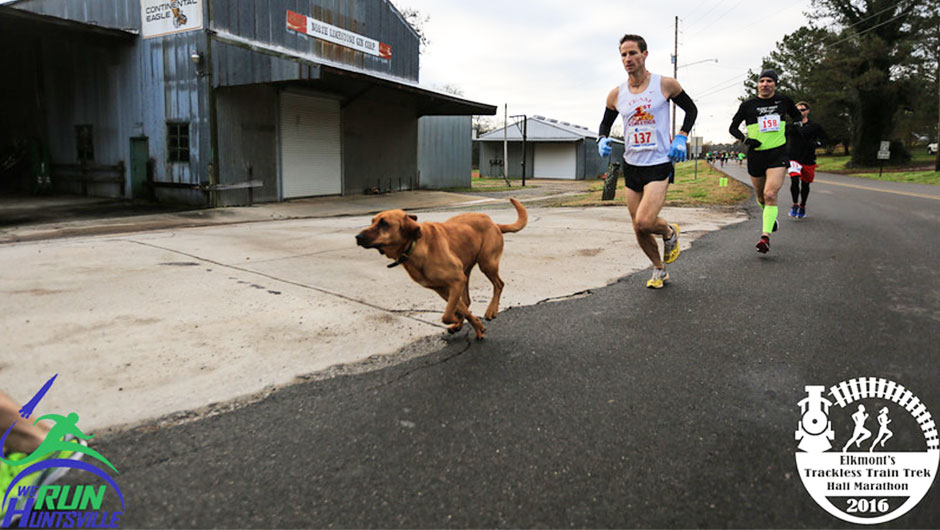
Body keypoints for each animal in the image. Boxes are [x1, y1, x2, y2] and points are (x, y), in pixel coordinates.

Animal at [354, 198, 528, 338]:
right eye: (372, 221)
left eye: (384, 223)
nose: (358, 237)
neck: (414, 246)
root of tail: (494, 223)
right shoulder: (444, 288)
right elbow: (460, 309)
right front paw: (474, 326)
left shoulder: (456, 281)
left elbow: (448, 315)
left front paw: (461, 320)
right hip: (466, 272)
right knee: (467, 301)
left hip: (487, 263)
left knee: (499, 284)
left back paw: (491, 310)